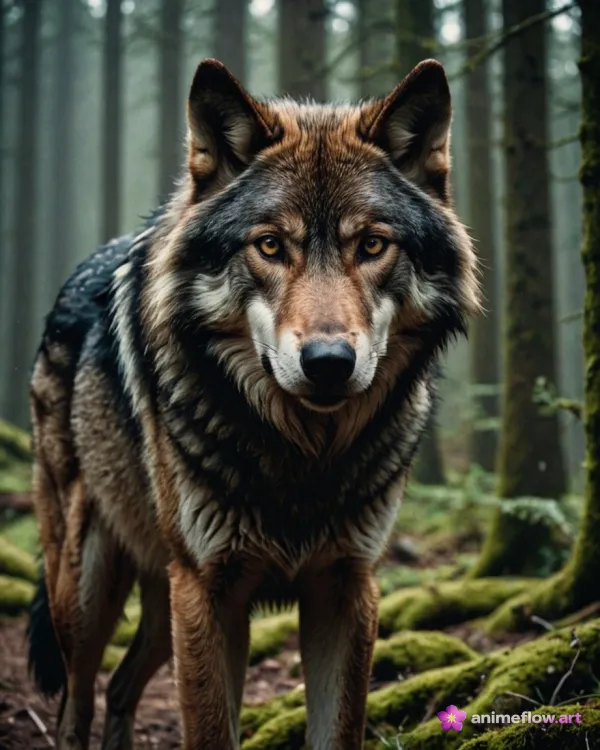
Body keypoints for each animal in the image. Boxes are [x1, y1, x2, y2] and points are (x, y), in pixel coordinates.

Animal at [27, 58, 479, 750]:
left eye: (372, 246)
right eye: (270, 246)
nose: (328, 362)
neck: (303, 459)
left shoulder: (346, 586)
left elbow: (337, 729)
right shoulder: (209, 590)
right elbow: (213, 731)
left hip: (161, 603)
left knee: (123, 684)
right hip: (86, 593)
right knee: (77, 702)